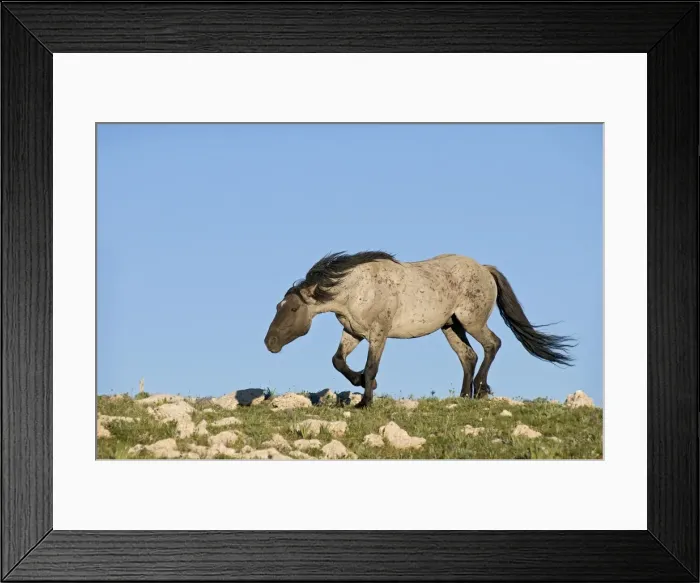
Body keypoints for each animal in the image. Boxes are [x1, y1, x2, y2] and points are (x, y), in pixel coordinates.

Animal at [264, 251, 575, 408]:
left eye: (293, 309)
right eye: (278, 306)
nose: (270, 342)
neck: (357, 288)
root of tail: (485, 269)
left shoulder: (378, 334)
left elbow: (372, 366)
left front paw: (365, 400)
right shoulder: (353, 332)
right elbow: (338, 361)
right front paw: (361, 383)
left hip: (472, 321)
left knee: (492, 345)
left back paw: (481, 390)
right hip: (451, 327)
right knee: (469, 356)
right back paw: (463, 397)